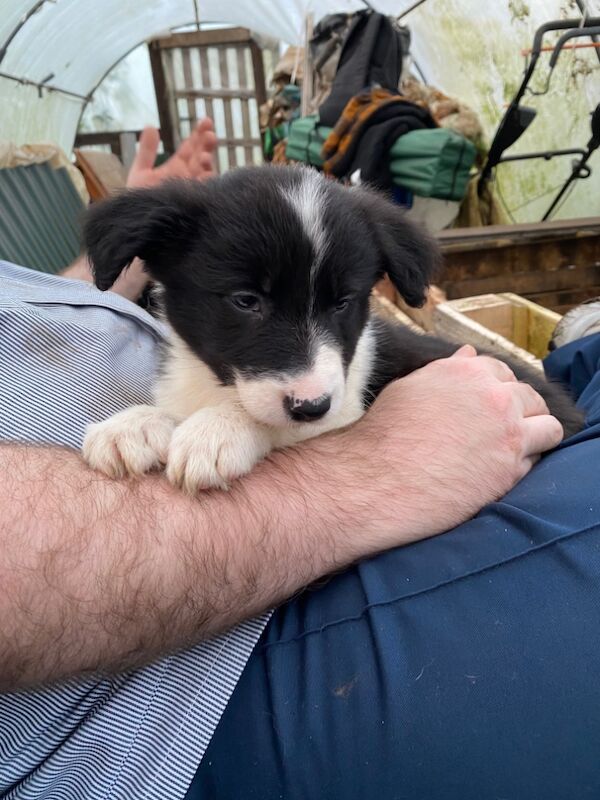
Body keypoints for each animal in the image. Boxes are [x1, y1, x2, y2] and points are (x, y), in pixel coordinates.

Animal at [82, 163, 584, 490]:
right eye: (246, 301)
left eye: (343, 303)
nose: (311, 406)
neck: (217, 385)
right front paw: (136, 425)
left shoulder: (343, 413)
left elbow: (274, 424)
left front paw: (218, 429)